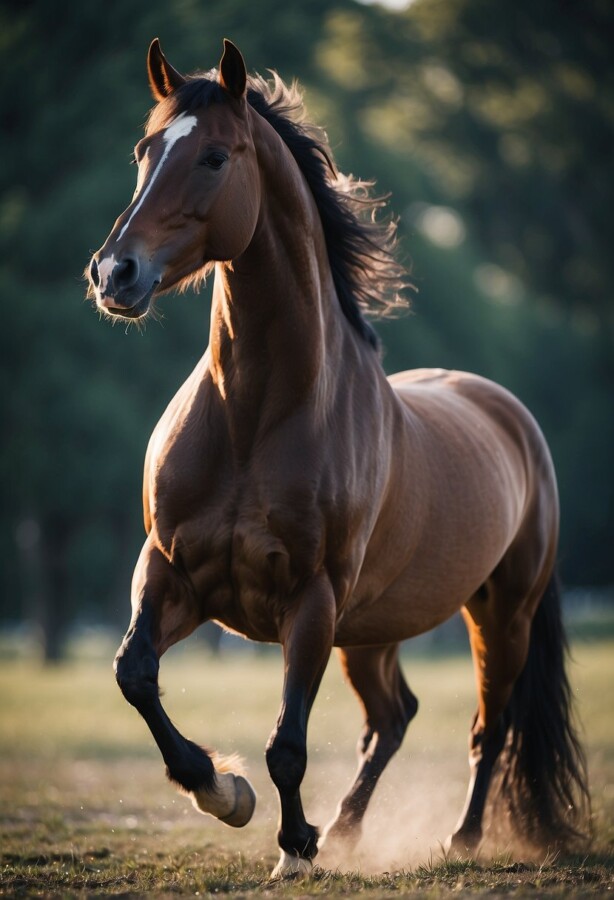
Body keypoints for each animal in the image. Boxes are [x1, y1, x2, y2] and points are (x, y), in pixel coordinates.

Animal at [87, 39, 589, 877]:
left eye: (214, 157)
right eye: (145, 151)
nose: (114, 273)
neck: (255, 417)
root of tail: (510, 416)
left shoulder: (311, 600)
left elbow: (287, 743)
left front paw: (293, 846)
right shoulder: (172, 571)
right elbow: (134, 677)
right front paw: (223, 791)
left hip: (499, 614)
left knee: (487, 727)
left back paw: (458, 837)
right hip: (373, 629)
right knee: (393, 717)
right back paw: (349, 828)